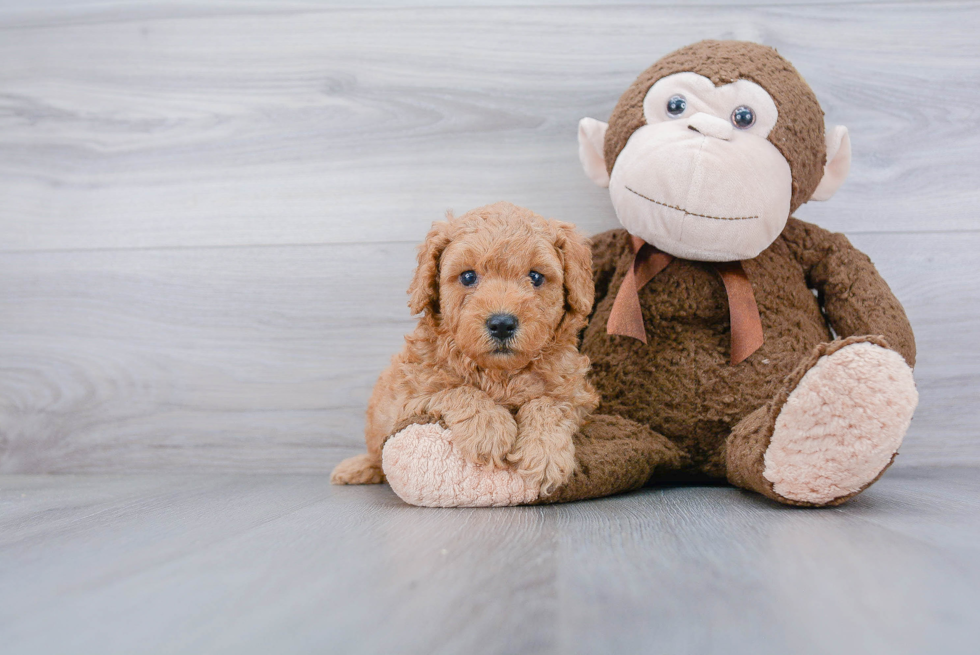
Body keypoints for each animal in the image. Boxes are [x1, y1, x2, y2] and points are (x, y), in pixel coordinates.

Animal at [334, 202, 600, 494]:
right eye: (468, 276)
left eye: (536, 276)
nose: (502, 324)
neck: (500, 374)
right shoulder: (410, 395)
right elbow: (456, 390)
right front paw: (490, 428)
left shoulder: (577, 396)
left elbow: (549, 404)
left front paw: (545, 453)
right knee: (375, 456)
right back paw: (356, 468)